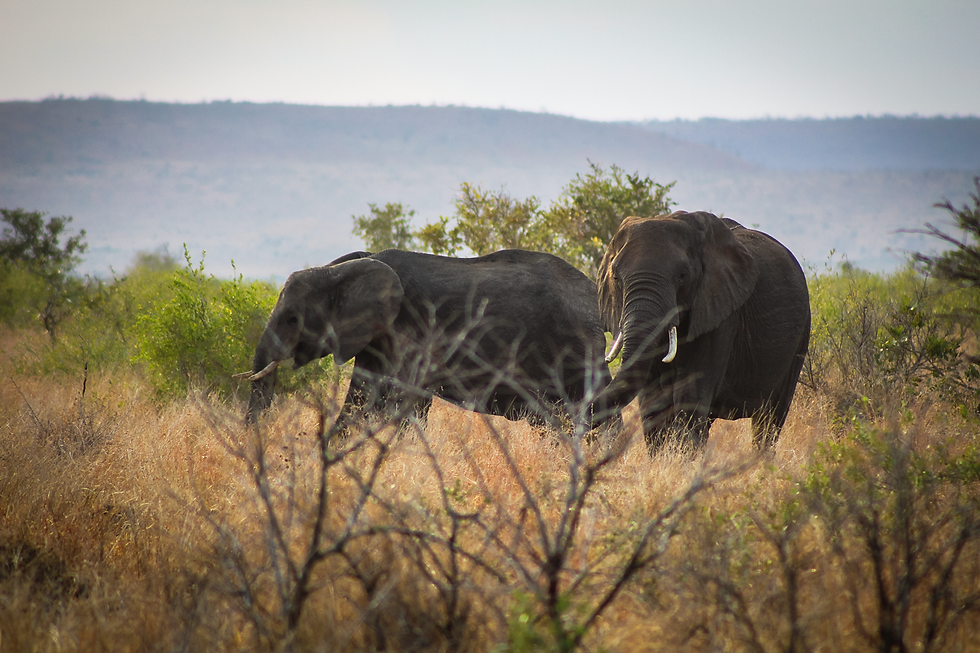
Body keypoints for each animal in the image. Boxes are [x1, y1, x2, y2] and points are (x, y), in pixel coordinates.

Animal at [242, 248, 612, 431]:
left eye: (292, 319)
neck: (340, 268)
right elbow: (362, 397)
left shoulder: (410, 329)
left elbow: (396, 400)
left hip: (575, 350)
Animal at [592, 210, 810, 450]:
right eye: (616, 277)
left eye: (682, 275)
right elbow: (653, 404)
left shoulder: (721, 313)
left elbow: (690, 399)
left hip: (801, 335)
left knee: (770, 418)